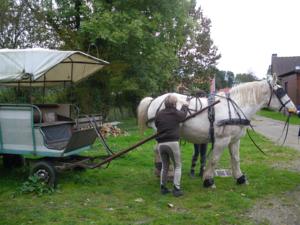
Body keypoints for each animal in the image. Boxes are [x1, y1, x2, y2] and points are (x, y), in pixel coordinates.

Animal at [138, 79, 298, 188]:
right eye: (281, 92)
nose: (294, 110)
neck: (237, 107)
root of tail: (154, 100)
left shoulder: (234, 140)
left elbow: (236, 159)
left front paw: (240, 178)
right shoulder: (222, 139)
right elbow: (214, 159)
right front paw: (208, 181)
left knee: (157, 149)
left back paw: (160, 170)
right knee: (160, 150)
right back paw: (165, 170)